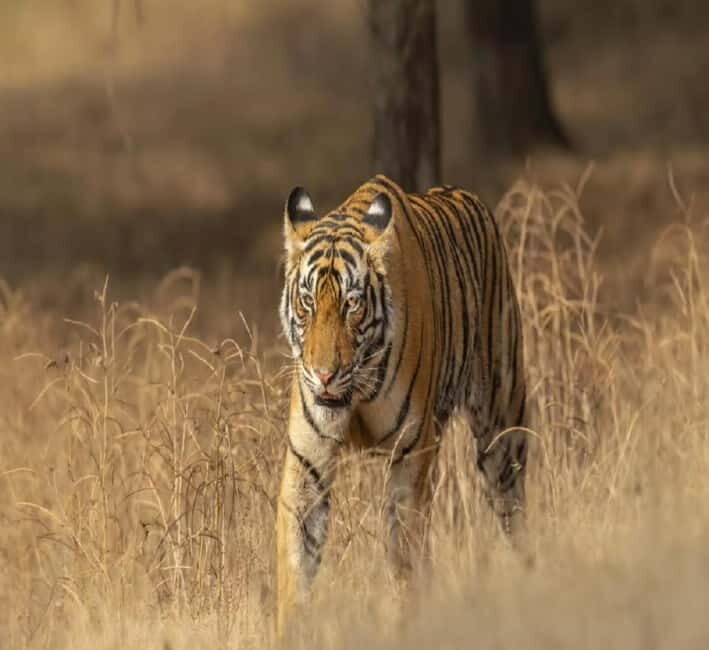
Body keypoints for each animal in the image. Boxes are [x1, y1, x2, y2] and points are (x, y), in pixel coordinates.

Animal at [276, 174, 528, 636]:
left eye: (351, 304)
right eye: (307, 302)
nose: (323, 374)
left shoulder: (409, 458)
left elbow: (404, 556)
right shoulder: (308, 461)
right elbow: (296, 561)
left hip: (502, 424)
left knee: (512, 508)